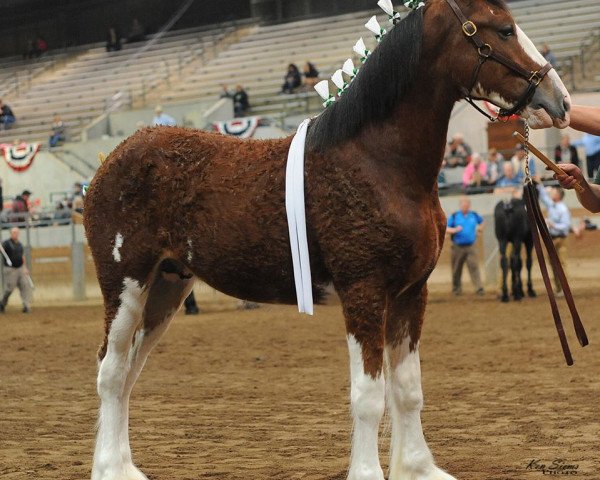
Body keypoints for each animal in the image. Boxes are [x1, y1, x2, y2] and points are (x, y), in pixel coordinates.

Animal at [84, 0, 572, 480]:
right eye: (504, 30)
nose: (559, 99)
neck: (380, 163)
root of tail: (112, 159)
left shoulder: (410, 294)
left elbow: (407, 389)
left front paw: (417, 467)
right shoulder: (364, 292)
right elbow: (369, 396)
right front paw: (369, 471)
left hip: (167, 286)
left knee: (128, 373)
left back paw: (124, 466)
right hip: (126, 283)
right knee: (110, 372)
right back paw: (109, 468)